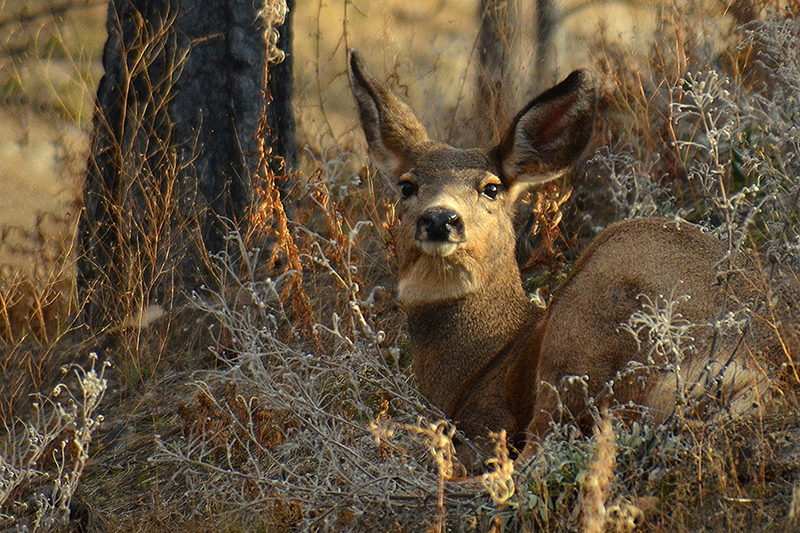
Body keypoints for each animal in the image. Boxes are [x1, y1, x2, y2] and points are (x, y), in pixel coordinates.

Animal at [346, 51, 796, 466]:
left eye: (491, 188)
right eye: (407, 186)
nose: (440, 219)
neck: (481, 364)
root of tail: (751, 370)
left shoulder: (488, 416)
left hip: (585, 318)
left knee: (538, 454)